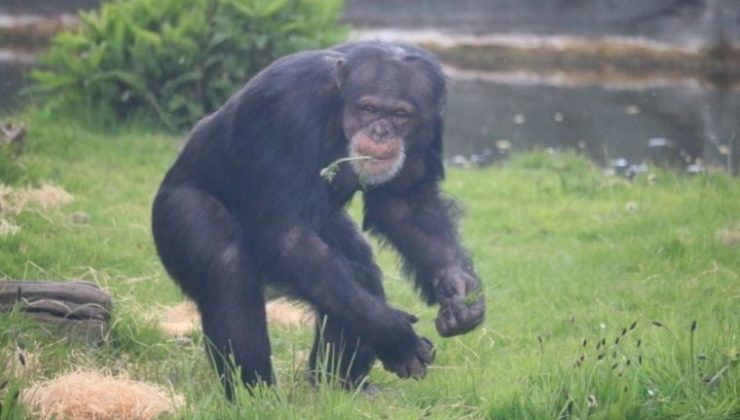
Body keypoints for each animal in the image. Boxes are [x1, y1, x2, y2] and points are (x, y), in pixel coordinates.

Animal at [150, 40, 486, 398]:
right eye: (368, 109)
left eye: (400, 115)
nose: (380, 132)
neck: (338, 108)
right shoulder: (287, 108)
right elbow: (287, 236)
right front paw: (394, 335)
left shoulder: (430, 122)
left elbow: (406, 204)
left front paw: (459, 289)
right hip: (175, 210)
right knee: (227, 267)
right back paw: (256, 395)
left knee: (353, 271)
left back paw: (341, 384)